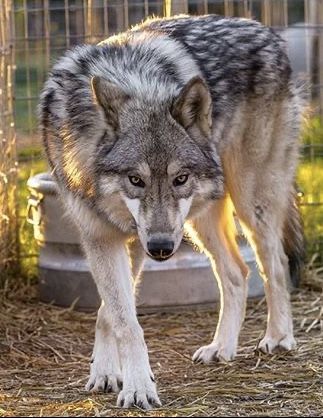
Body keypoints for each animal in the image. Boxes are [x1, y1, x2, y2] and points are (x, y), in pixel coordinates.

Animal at [39, 15, 308, 408]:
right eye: (135, 180)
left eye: (179, 178)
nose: (163, 249)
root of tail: (263, 29)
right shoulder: (108, 237)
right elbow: (117, 315)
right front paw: (110, 374)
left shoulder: (138, 238)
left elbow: (114, 312)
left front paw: (136, 385)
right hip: (198, 220)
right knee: (237, 272)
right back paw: (222, 347)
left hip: (247, 200)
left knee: (274, 263)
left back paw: (278, 337)